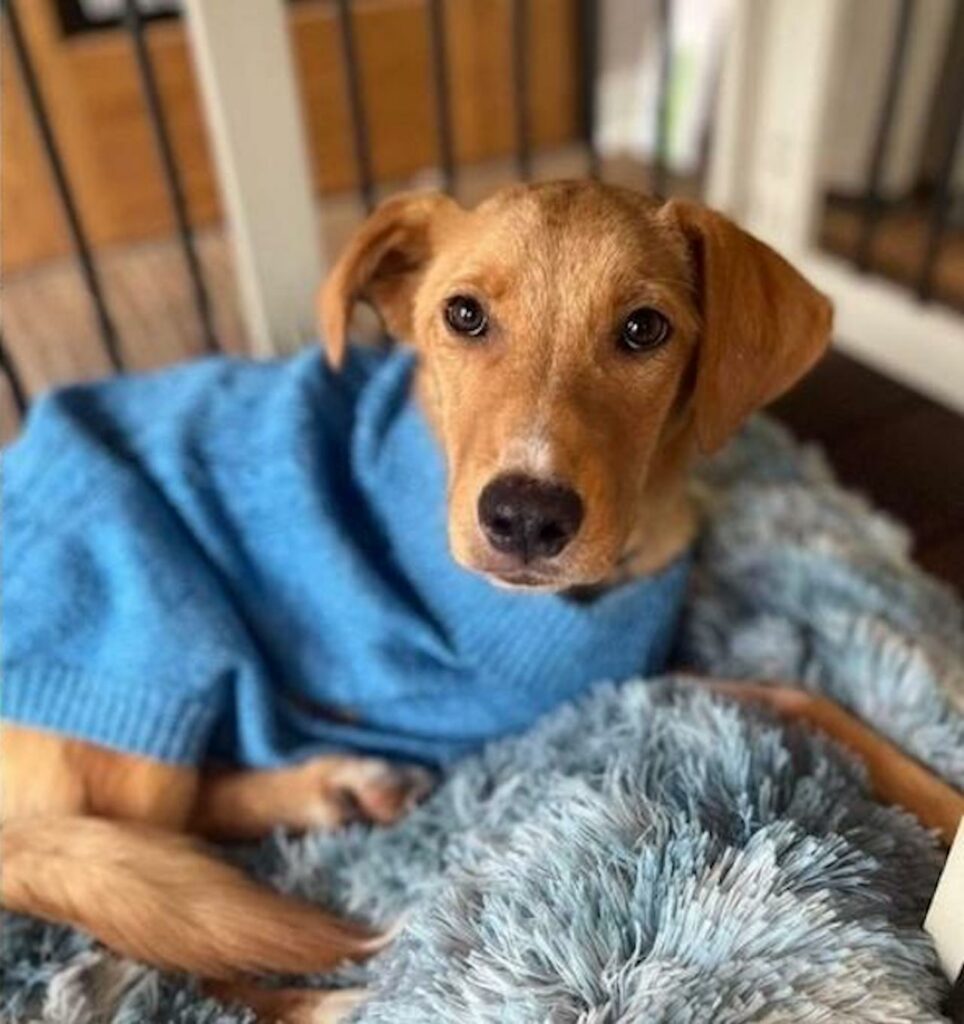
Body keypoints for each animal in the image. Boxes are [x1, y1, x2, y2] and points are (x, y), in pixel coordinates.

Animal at [3, 180, 958, 1019]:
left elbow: (808, 697)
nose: (526, 518)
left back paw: (340, 789)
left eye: (644, 328)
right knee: (140, 928)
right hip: (145, 613)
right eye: (463, 315)